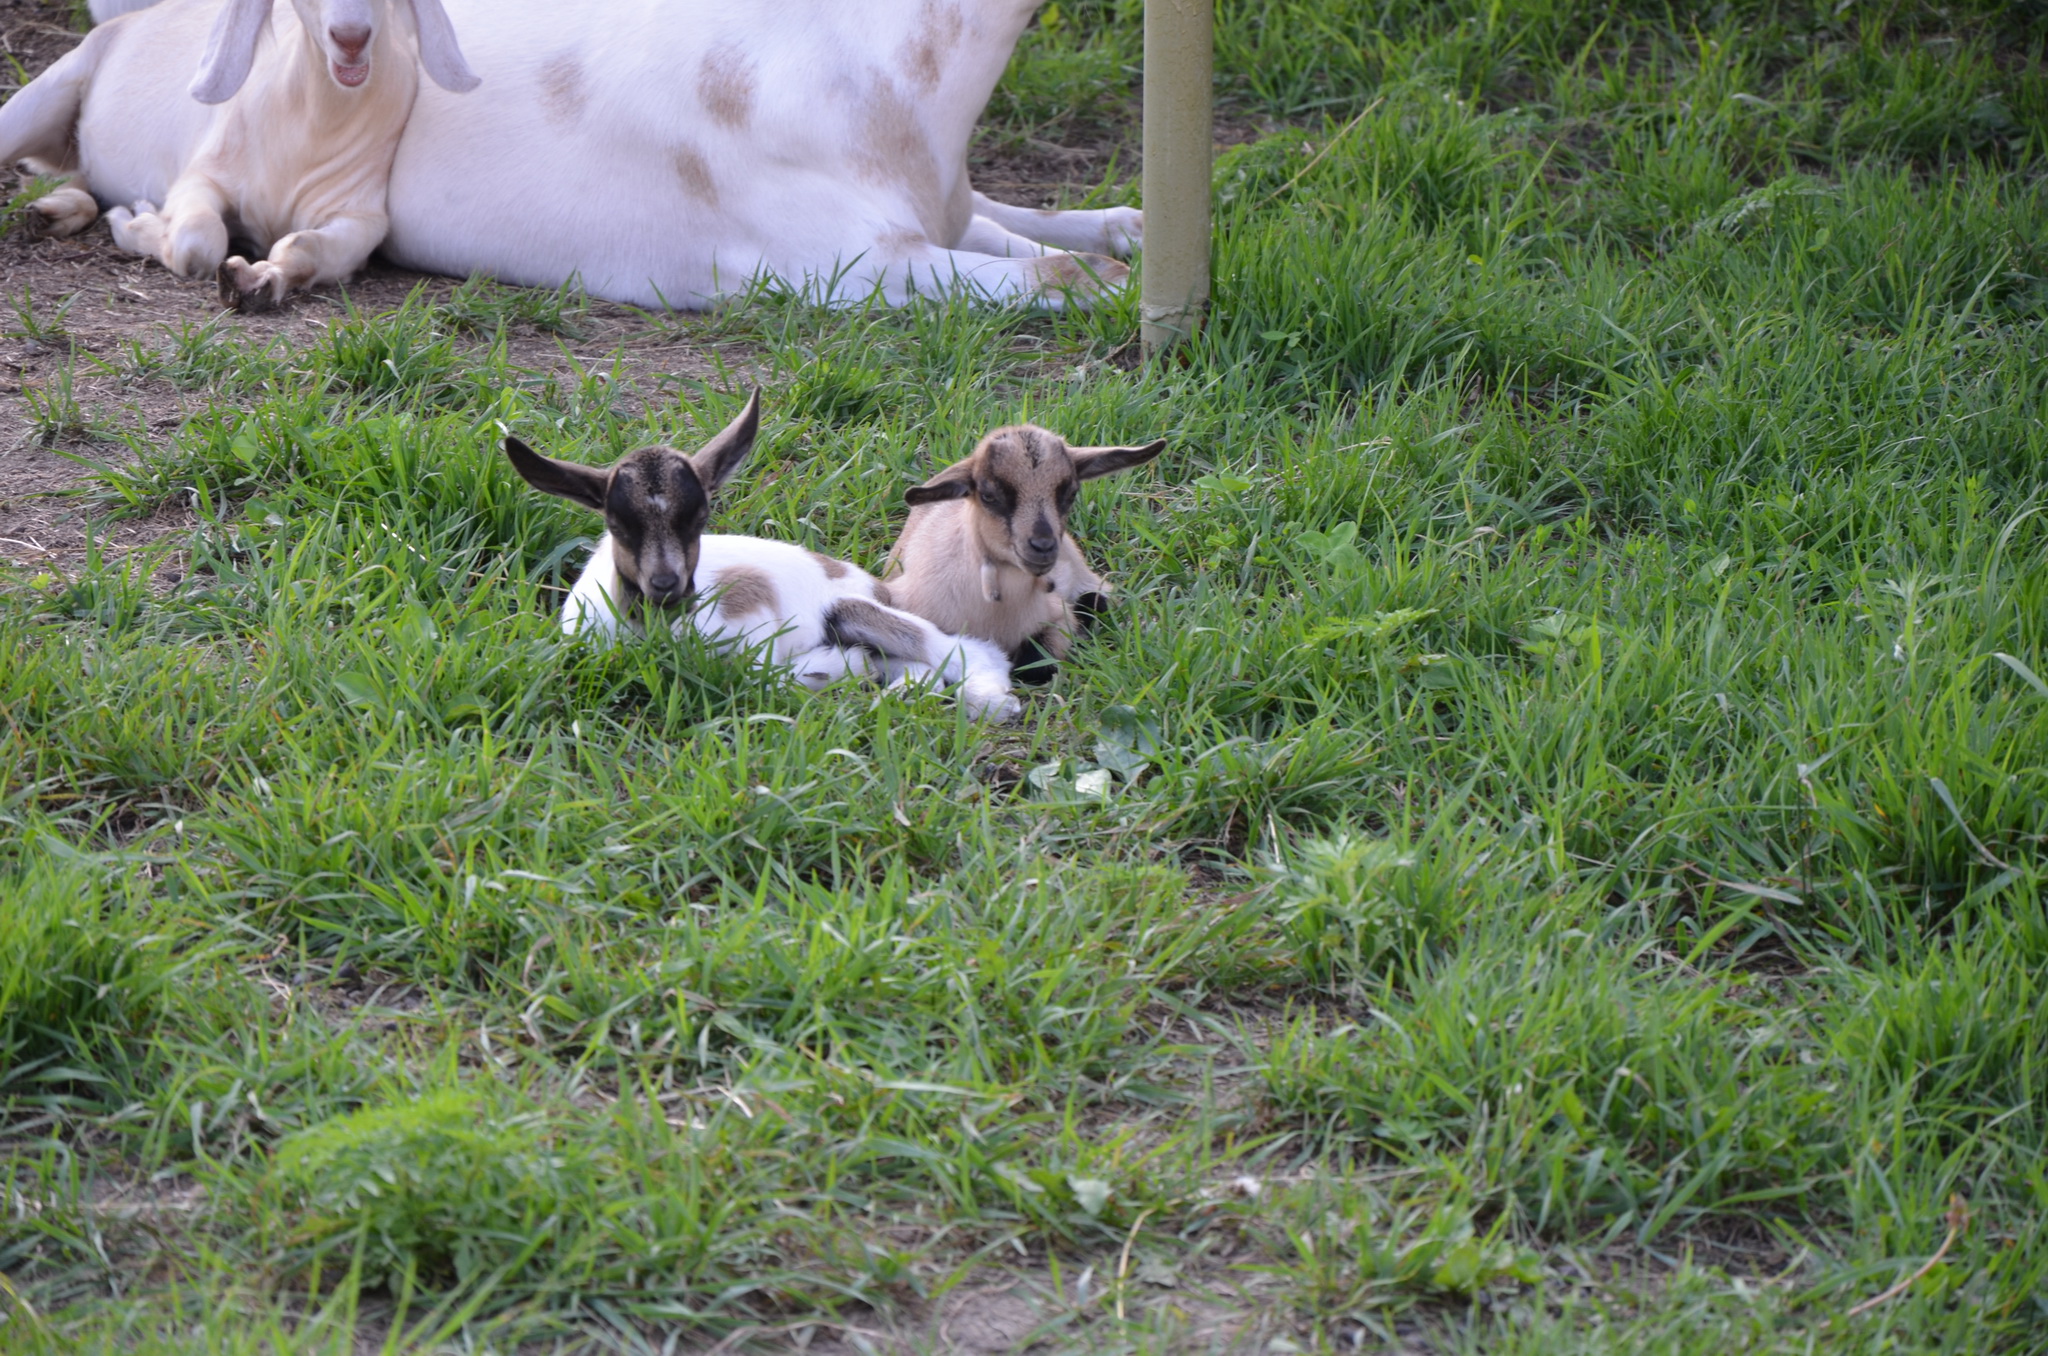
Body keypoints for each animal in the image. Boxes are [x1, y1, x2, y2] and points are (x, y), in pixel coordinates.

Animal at [9, 0, 479, 309]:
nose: (350, 39)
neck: (311, 125)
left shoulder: (361, 215)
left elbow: (304, 247)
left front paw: (257, 280)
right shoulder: (202, 176)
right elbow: (198, 242)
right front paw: (137, 219)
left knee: (76, 179)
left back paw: (52, 211)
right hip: (43, 94)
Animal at [507, 393, 1019, 729]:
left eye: (700, 516)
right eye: (616, 523)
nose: (668, 585)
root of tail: (869, 580)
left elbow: (757, 672)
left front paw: (834, 668)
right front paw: (839, 669)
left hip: (856, 609)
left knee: (964, 649)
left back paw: (990, 703)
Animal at [884, 421, 1171, 680]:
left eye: (1071, 494)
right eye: (988, 495)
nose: (1042, 546)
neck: (995, 615)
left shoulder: (1058, 617)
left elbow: (1034, 666)